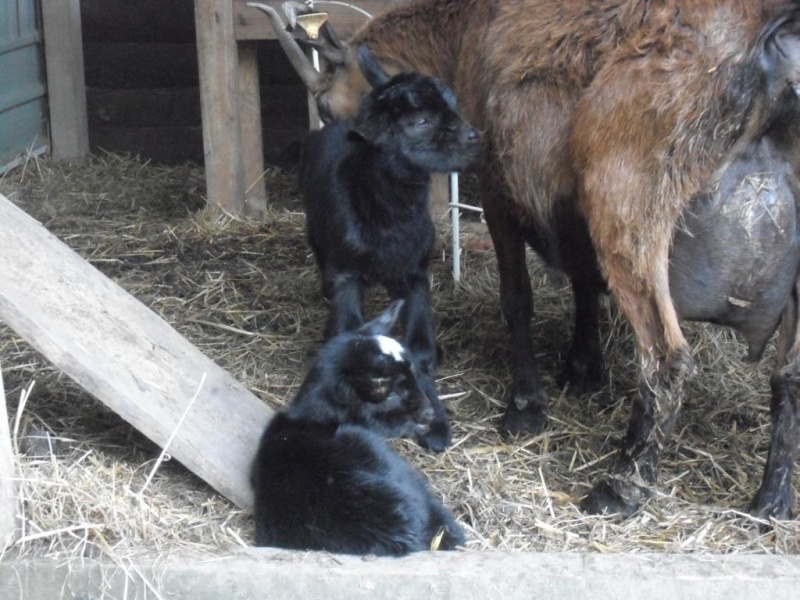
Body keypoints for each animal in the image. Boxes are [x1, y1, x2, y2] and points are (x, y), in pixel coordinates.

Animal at [253, 0, 800, 520]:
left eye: (326, 106)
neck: (467, 29)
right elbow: (583, 280)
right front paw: (583, 368)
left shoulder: (498, 187)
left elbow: (518, 299)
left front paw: (525, 407)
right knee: (789, 374)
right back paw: (771, 502)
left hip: (628, 203)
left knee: (667, 358)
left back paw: (619, 488)